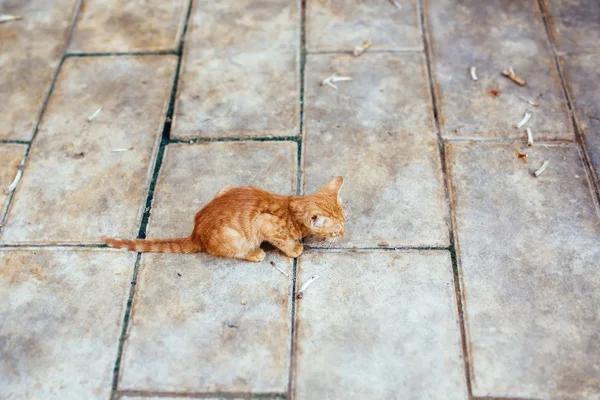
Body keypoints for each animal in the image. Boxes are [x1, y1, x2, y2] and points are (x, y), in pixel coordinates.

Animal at [103, 177, 346, 260]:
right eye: (336, 230)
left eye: (345, 221)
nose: (344, 234)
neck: (292, 206)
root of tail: (196, 233)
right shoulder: (265, 223)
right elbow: (283, 240)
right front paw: (295, 249)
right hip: (234, 237)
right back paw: (255, 254)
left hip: (226, 188)